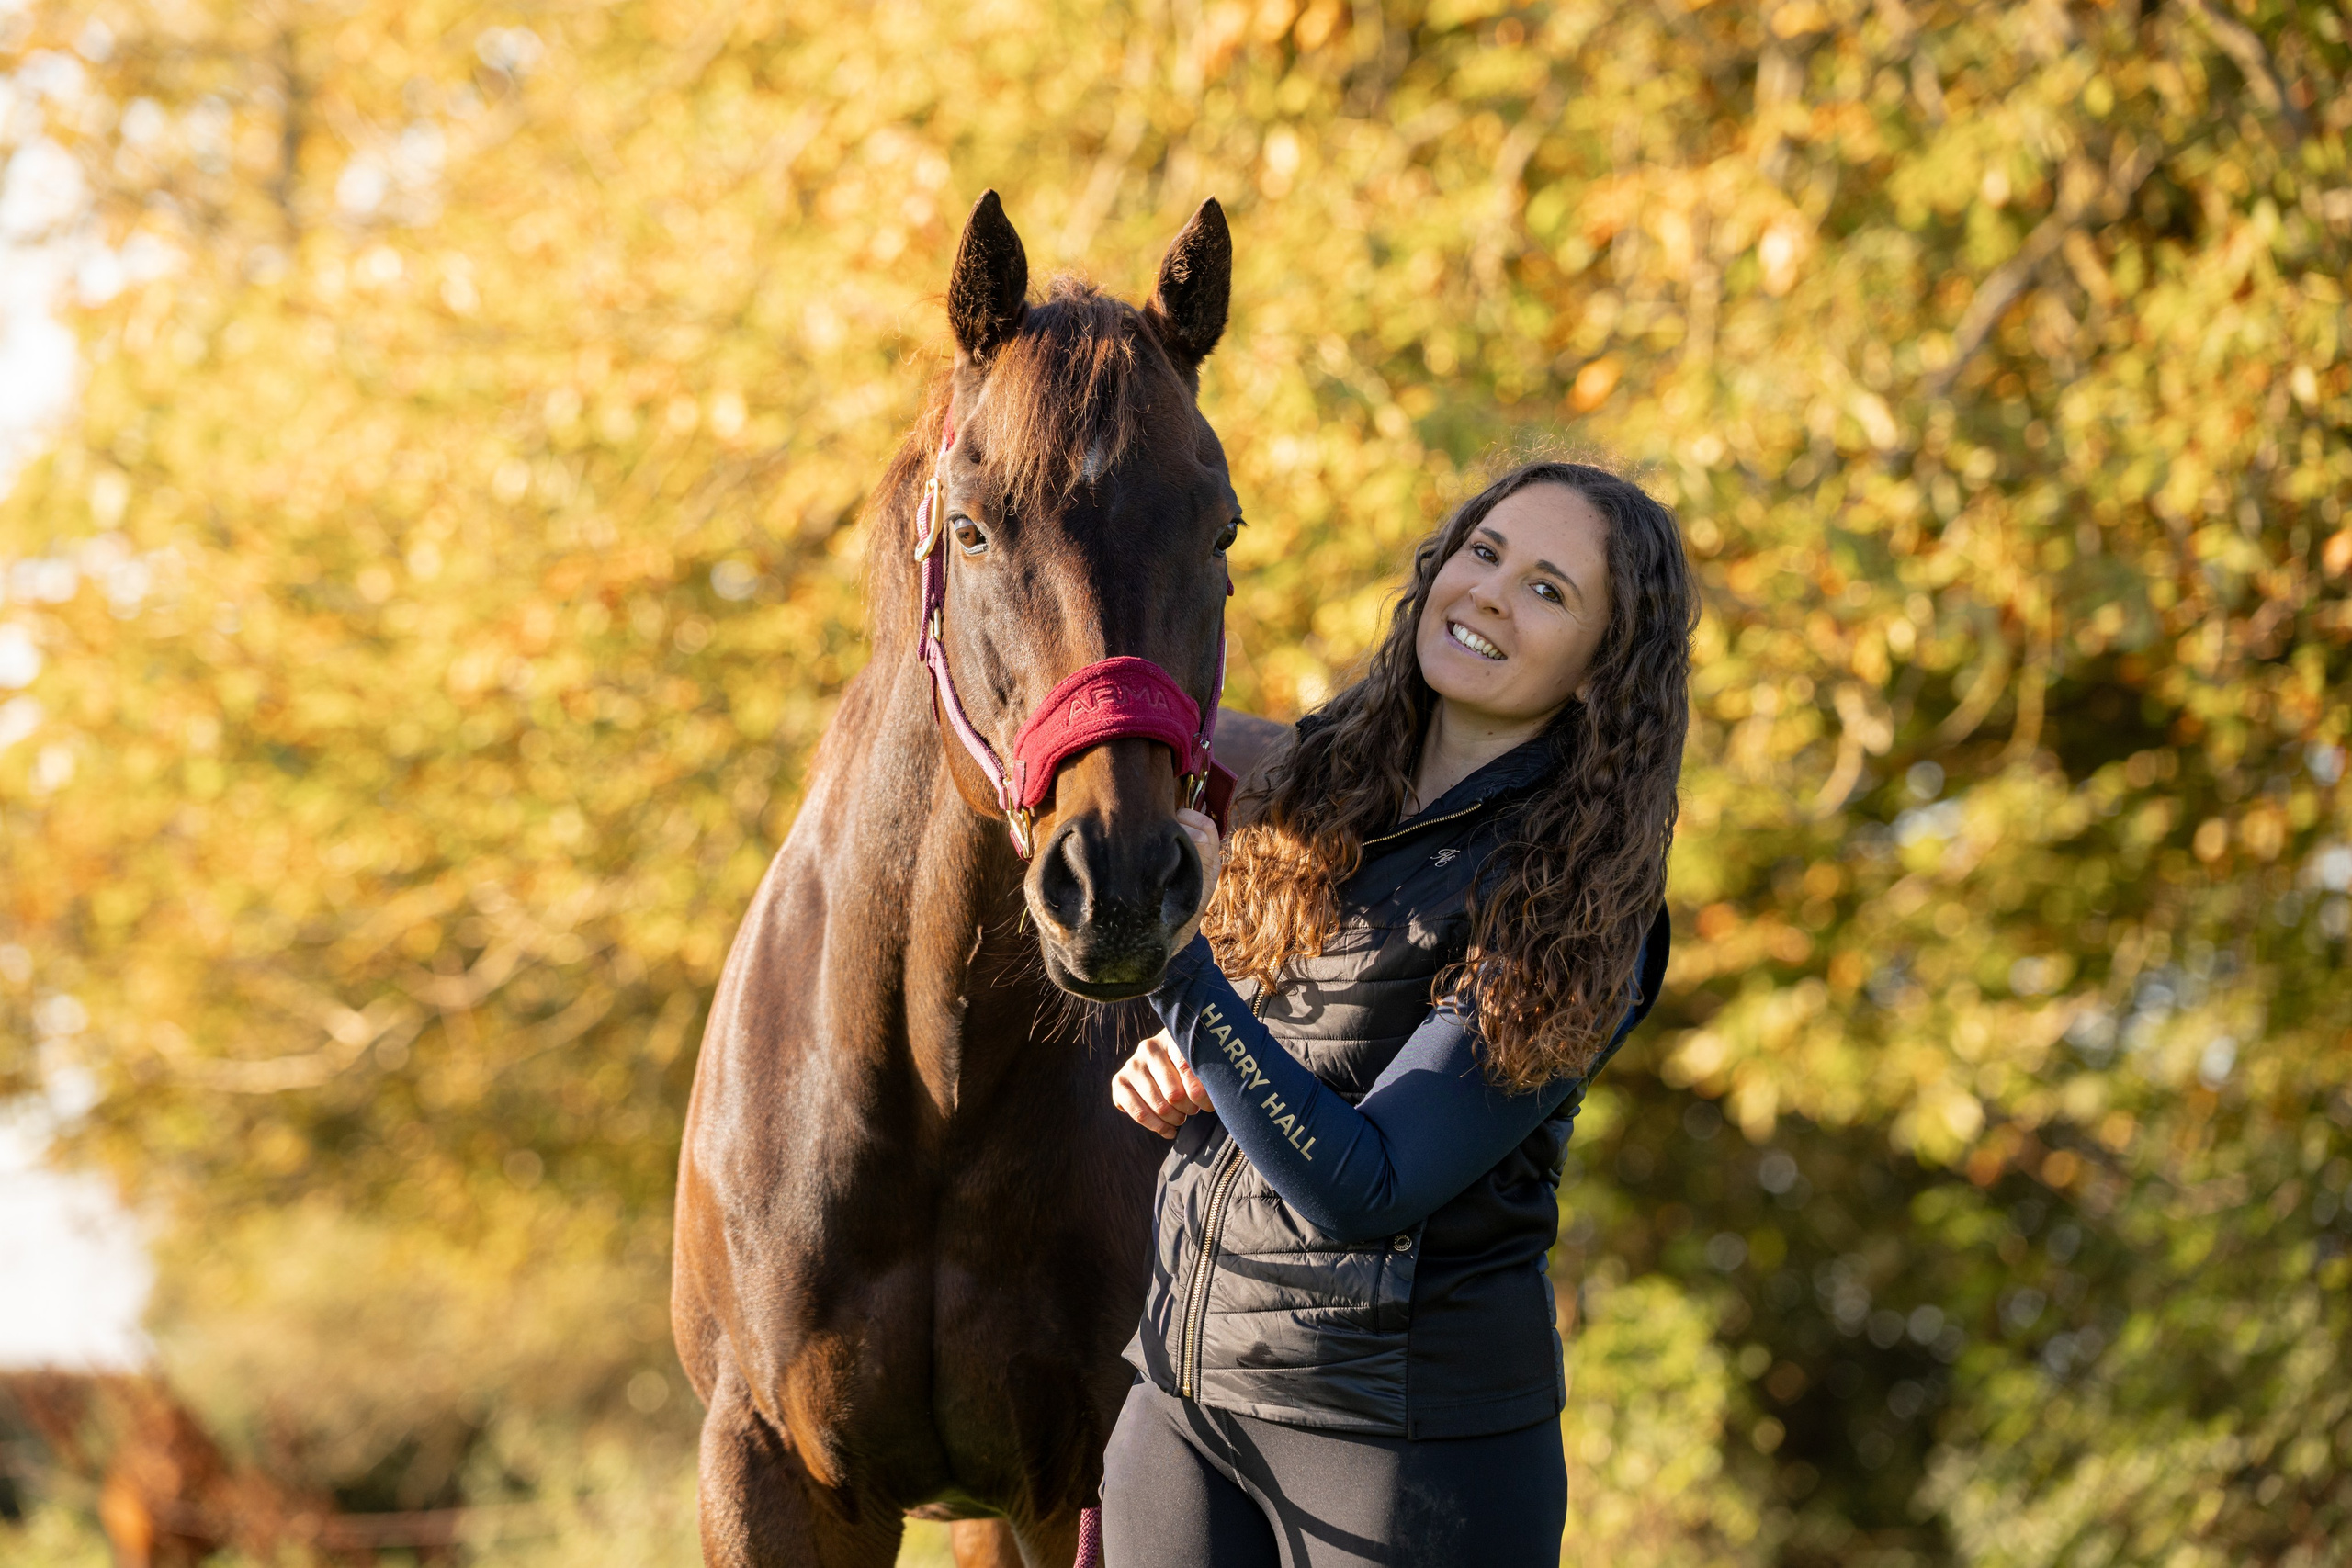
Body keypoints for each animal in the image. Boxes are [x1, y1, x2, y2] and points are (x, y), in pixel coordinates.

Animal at [672, 192, 1284, 1567]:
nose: (1119, 880)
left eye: (1220, 527)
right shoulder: (770, 1470)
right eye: (971, 526)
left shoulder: (1076, 1482)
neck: (926, 1084)